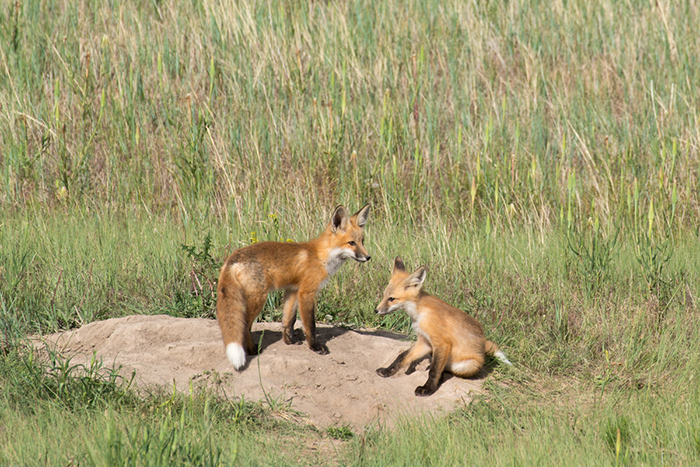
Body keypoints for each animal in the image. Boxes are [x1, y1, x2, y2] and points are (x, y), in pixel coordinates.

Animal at [217, 204, 372, 370]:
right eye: (352, 243)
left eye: (362, 241)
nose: (368, 257)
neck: (321, 256)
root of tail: (232, 258)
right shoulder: (307, 292)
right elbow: (310, 325)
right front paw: (314, 347)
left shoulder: (292, 290)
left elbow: (288, 320)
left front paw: (289, 340)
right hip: (258, 299)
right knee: (245, 326)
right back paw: (253, 350)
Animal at [374, 258, 512, 396]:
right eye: (384, 296)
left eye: (391, 299)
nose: (376, 310)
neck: (420, 314)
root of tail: (482, 343)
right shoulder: (425, 342)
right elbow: (402, 357)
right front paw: (387, 371)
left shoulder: (442, 343)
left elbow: (434, 371)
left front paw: (427, 389)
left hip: (468, 364)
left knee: (444, 370)